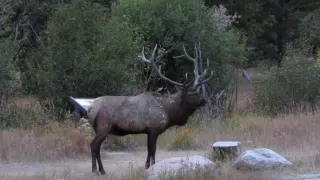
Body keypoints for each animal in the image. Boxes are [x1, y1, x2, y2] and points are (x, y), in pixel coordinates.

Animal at [86, 43, 214, 174]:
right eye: (191, 94)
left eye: (198, 92)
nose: (204, 100)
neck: (169, 112)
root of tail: (90, 109)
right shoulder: (154, 128)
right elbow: (153, 149)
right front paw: (152, 165)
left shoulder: (148, 131)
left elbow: (149, 149)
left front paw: (147, 165)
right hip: (103, 126)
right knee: (94, 145)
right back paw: (96, 170)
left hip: (98, 128)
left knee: (96, 147)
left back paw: (100, 170)